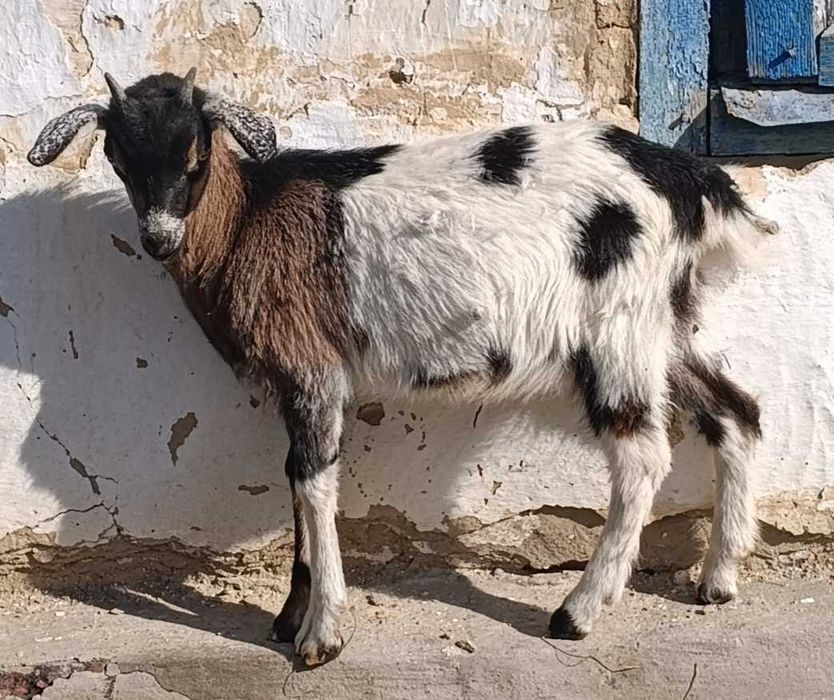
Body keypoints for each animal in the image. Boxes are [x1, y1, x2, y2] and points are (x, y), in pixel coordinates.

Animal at [29, 69, 775, 667]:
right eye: (117, 158)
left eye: (195, 155)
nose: (158, 239)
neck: (247, 222)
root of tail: (689, 181)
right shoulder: (295, 380)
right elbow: (294, 478)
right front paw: (288, 617)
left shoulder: (312, 364)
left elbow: (312, 482)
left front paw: (320, 636)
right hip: (664, 324)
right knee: (735, 411)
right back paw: (718, 578)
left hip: (617, 325)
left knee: (642, 455)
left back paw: (579, 611)